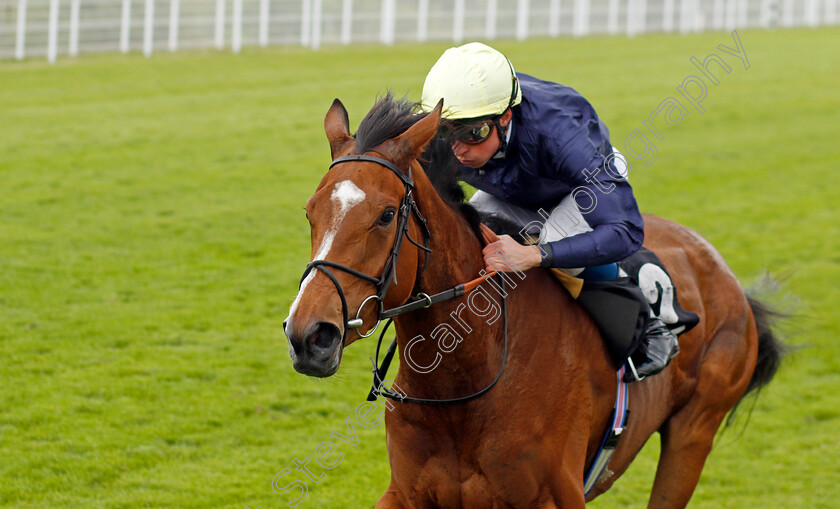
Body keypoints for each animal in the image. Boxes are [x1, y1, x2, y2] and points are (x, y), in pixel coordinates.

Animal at [284, 93, 780, 506]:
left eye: (387, 215)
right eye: (309, 211)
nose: (310, 335)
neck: (463, 384)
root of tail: (719, 267)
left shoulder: (554, 496)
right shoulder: (406, 493)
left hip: (693, 432)